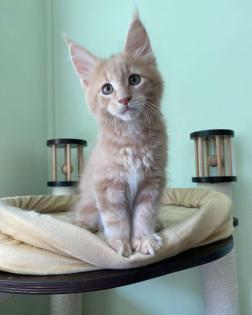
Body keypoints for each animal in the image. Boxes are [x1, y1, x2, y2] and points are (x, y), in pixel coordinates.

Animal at [65, 13, 167, 258]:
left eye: (134, 80)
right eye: (107, 89)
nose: (124, 99)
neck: (132, 138)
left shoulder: (152, 182)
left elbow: (144, 215)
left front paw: (144, 238)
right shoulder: (108, 185)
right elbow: (116, 219)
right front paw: (119, 243)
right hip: (89, 203)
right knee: (84, 215)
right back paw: (83, 226)